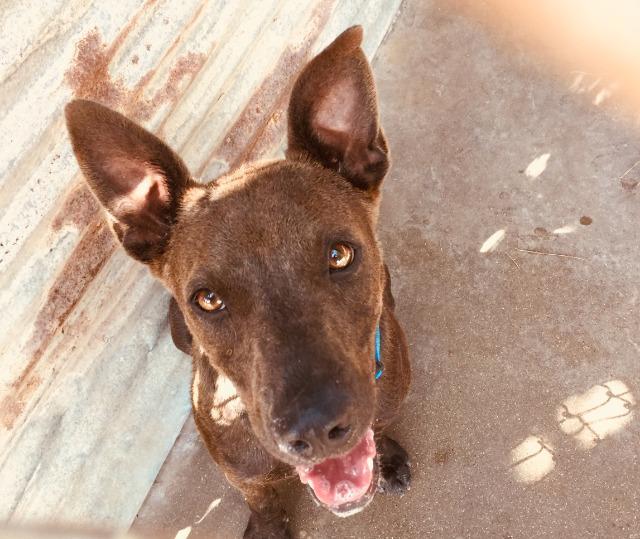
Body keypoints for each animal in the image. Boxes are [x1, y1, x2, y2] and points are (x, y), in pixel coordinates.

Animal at [65, 25, 412, 539]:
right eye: (207, 299)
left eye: (339, 254)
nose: (315, 427)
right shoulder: (242, 473)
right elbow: (261, 498)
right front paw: (268, 524)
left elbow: (382, 424)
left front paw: (386, 456)